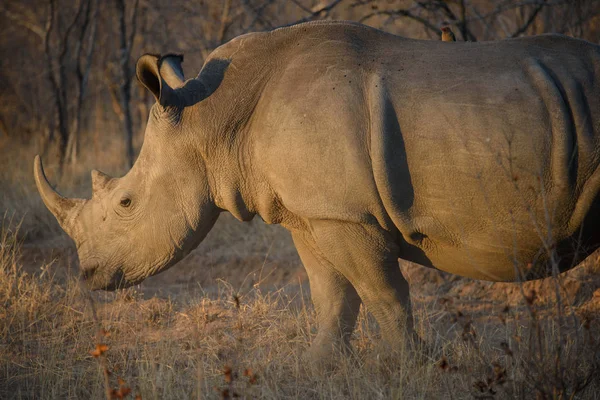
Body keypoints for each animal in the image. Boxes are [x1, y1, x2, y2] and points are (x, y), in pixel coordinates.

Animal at [35, 21, 600, 360]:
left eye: (125, 203)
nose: (88, 275)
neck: (211, 120)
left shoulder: (345, 214)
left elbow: (383, 293)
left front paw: (409, 368)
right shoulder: (315, 212)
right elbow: (332, 295)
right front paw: (322, 366)